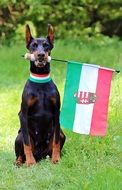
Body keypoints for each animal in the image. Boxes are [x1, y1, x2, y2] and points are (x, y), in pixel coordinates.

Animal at [15, 24, 66, 167]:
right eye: (33, 45)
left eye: (46, 45)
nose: (41, 55)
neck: (40, 80)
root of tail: (40, 155)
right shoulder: (23, 114)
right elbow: (27, 144)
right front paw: (30, 162)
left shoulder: (56, 113)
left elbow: (56, 142)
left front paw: (56, 159)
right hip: (19, 135)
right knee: (20, 151)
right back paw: (20, 162)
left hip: (61, 134)